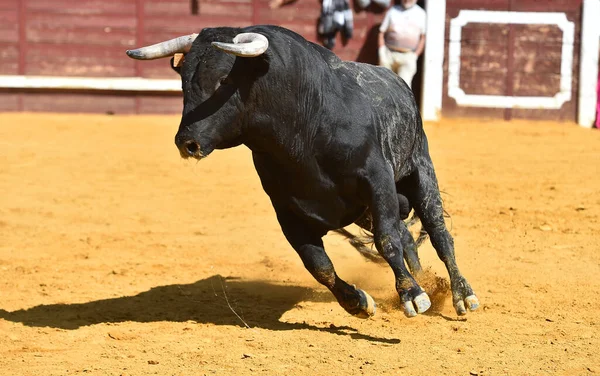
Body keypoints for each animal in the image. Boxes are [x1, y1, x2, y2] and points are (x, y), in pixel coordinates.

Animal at [126, 25, 478, 318]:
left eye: (224, 80)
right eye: (184, 81)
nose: (187, 142)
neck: (303, 129)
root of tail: (399, 83)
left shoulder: (377, 182)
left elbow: (387, 239)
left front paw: (412, 295)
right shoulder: (287, 209)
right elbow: (318, 264)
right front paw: (358, 302)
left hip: (420, 170)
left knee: (438, 233)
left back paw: (461, 295)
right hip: (368, 209)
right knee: (406, 236)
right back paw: (423, 279)